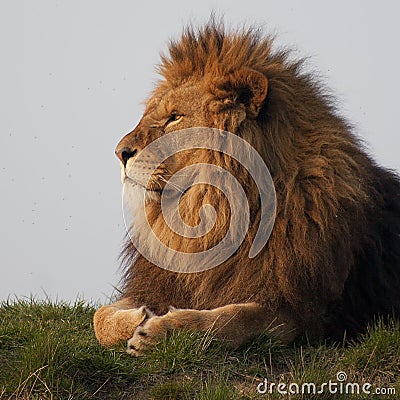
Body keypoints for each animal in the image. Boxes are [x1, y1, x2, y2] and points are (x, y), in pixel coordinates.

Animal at [92, 21, 400, 354]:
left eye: (174, 117)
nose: (120, 153)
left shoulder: (298, 315)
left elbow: (227, 320)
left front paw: (159, 330)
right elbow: (100, 317)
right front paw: (139, 315)